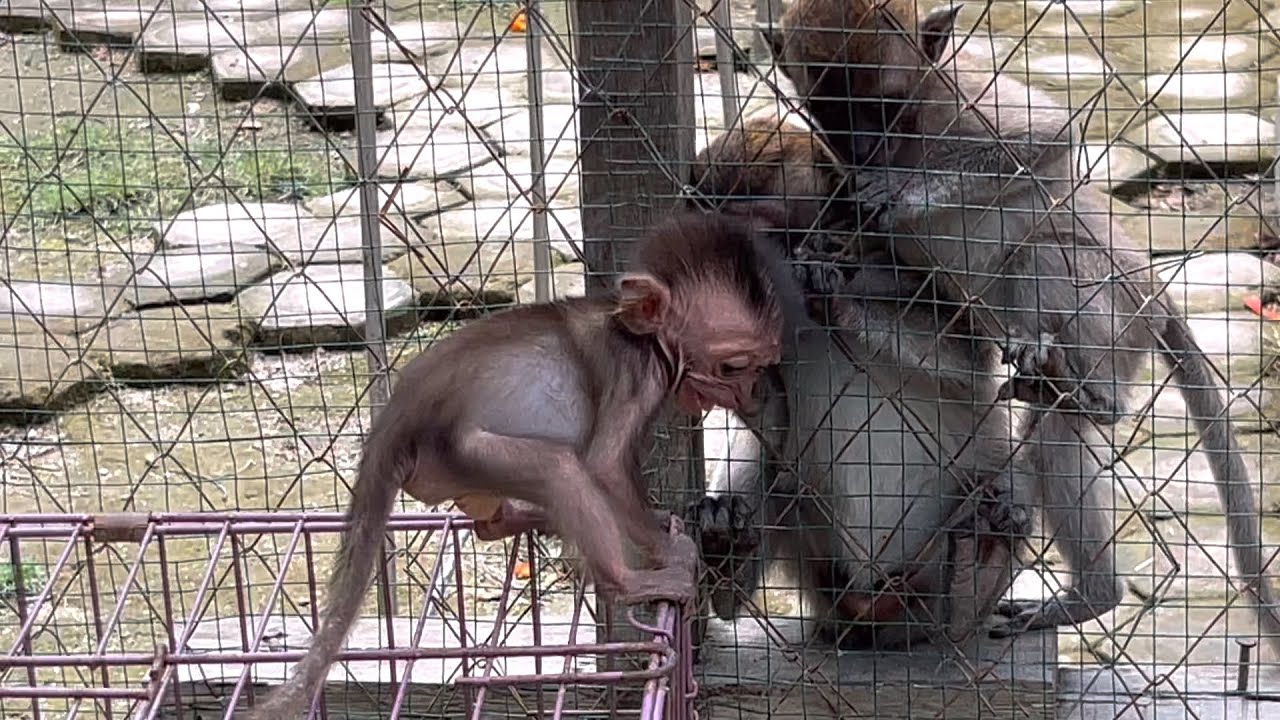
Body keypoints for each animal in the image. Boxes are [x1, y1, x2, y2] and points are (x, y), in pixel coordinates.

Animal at [244, 212, 787, 719]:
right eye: (733, 367)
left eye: (761, 367)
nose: (753, 396)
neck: (633, 331)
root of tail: (394, 423)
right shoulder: (637, 375)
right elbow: (605, 466)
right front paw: (670, 551)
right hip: (459, 451)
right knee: (559, 468)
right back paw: (627, 581)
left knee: (492, 521)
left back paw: (525, 517)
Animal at [762, 0, 1280, 649]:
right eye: (829, 111)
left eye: (883, 106)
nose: (860, 147)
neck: (912, 130)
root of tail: (1152, 292)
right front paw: (821, 260)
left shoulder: (964, 97)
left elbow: (1048, 135)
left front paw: (907, 192)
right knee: (1047, 411)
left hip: (1111, 311)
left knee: (1042, 254)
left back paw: (1094, 416)